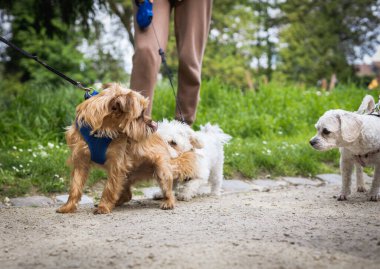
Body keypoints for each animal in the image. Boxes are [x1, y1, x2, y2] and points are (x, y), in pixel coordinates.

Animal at [58, 84, 197, 214]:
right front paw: (68, 207)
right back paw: (116, 202)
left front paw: (103, 207)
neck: (101, 131)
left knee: (168, 190)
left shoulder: (116, 165)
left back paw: (168, 202)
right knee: (126, 194)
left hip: (161, 170)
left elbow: (109, 187)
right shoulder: (80, 161)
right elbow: (75, 187)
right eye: (140, 115)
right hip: (126, 176)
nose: (154, 124)